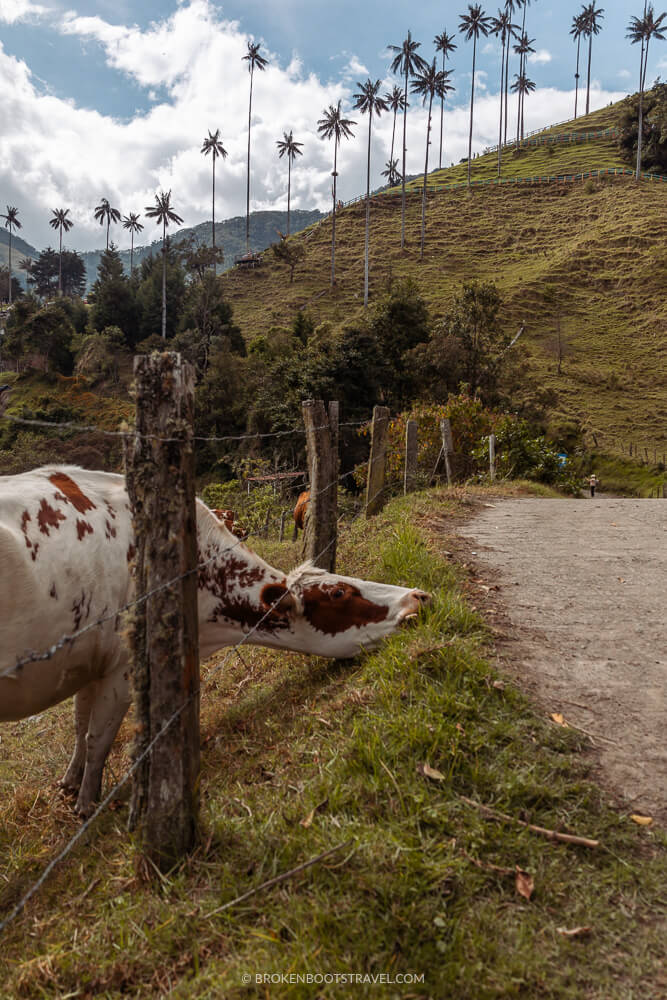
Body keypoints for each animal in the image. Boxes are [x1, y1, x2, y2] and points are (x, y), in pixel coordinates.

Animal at [1, 464, 434, 816]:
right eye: (339, 593)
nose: (418, 596)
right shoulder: (124, 667)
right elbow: (98, 738)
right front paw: (88, 803)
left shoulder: (88, 661)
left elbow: (80, 727)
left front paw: (70, 785)